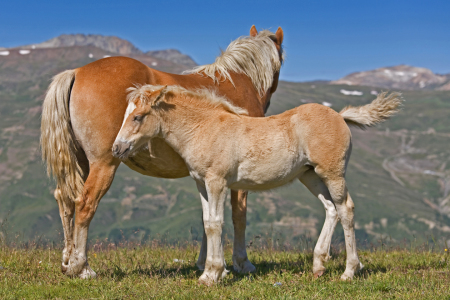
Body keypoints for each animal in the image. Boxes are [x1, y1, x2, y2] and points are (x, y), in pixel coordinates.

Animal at [40, 25, 284, 278]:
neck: (238, 81)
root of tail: (77, 72)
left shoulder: (208, 174)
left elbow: (207, 218)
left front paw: (206, 263)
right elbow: (238, 216)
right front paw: (241, 262)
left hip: (80, 162)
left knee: (66, 199)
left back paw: (68, 260)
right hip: (103, 163)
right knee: (85, 204)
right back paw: (82, 266)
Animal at [113, 84, 404, 284]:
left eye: (138, 117)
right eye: (125, 115)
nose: (117, 148)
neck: (204, 128)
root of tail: (341, 116)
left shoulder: (217, 181)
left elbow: (215, 224)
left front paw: (213, 274)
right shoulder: (201, 183)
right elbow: (207, 223)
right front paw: (208, 273)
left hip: (332, 173)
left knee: (346, 210)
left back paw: (349, 271)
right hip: (309, 175)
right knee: (331, 209)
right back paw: (319, 265)